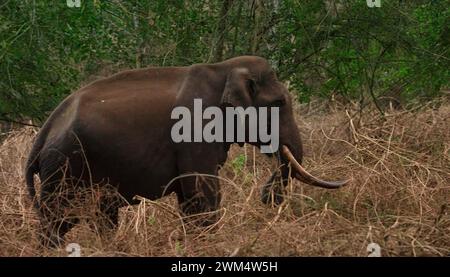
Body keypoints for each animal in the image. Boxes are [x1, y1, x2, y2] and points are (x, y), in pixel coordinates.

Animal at [25, 55, 348, 245]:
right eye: (279, 103)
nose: (267, 196)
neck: (225, 68)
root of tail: (42, 134)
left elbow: (189, 194)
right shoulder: (196, 129)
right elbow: (202, 190)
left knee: (99, 215)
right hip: (65, 166)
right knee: (60, 219)